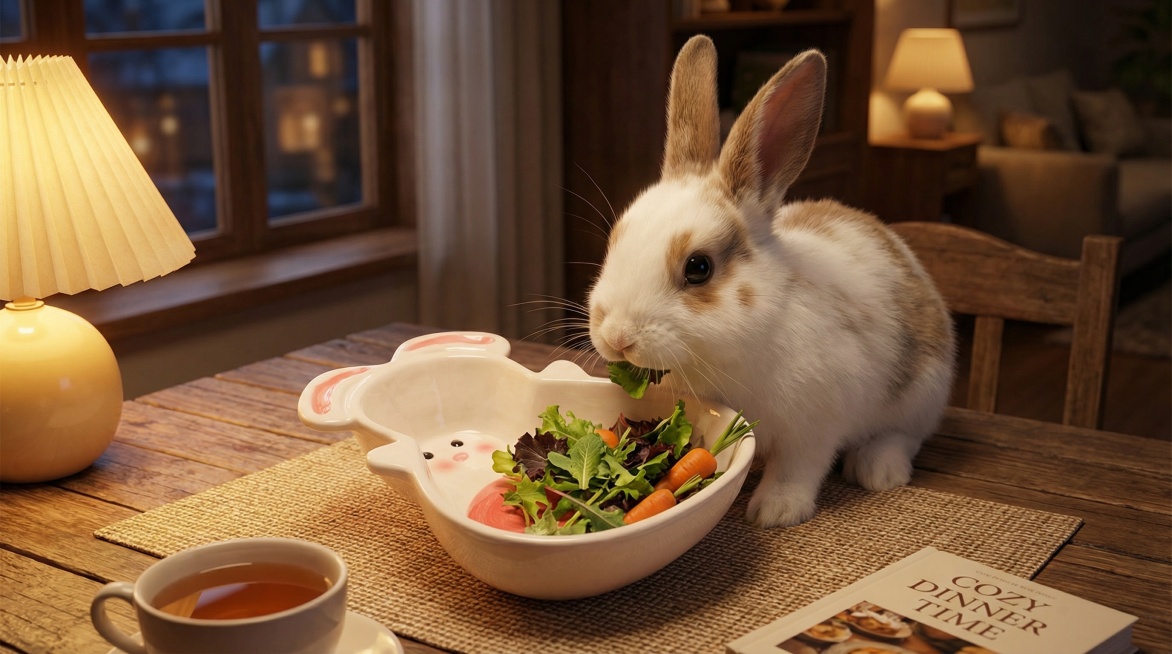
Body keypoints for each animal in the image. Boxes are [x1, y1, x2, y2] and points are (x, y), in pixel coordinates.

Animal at [587, 35, 957, 528]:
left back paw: (878, 470)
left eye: (698, 268)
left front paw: (775, 511)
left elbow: (797, 469)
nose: (616, 337)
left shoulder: (814, 425)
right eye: (615, 240)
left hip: (921, 394)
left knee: (904, 435)